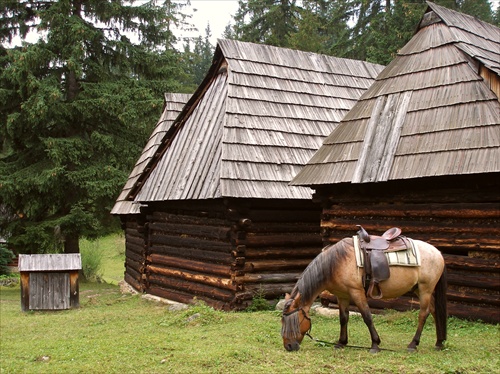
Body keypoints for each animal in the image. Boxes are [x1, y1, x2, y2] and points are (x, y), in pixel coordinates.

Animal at [280, 237, 448, 354]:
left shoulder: (356, 292)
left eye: (293, 321)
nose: (288, 346)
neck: (336, 263)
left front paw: (375, 344)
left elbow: (367, 317)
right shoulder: (342, 296)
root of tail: (437, 252)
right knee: (434, 310)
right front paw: (341, 343)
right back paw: (439, 342)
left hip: (425, 289)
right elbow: (343, 318)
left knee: (423, 314)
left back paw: (413, 344)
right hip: (419, 289)